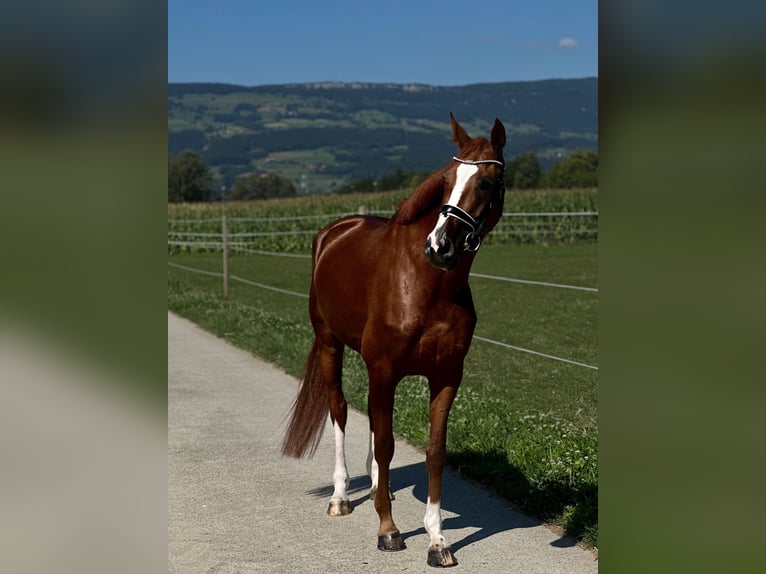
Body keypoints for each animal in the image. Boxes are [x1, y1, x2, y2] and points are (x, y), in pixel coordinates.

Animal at [284, 115, 508, 568]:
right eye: (446, 180)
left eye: (486, 183)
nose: (439, 246)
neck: (428, 284)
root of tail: (334, 230)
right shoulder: (384, 369)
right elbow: (386, 444)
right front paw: (387, 529)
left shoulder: (445, 377)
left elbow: (434, 452)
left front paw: (437, 541)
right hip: (331, 346)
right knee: (340, 411)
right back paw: (341, 497)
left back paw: (378, 488)